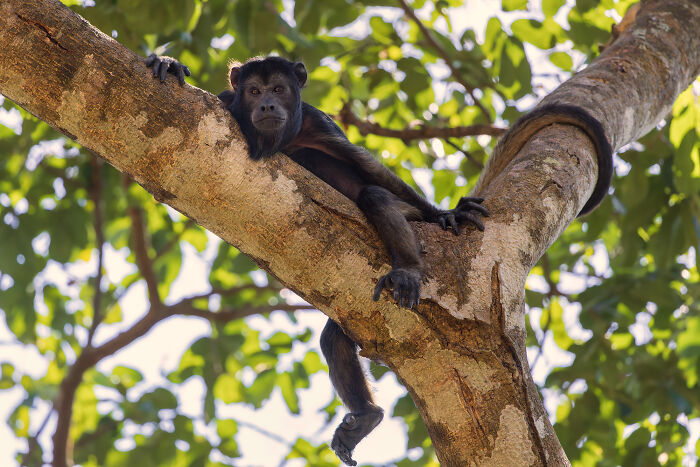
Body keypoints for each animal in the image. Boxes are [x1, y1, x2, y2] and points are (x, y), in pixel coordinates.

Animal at [147, 54, 489, 466]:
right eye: (254, 91)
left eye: (279, 89)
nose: (267, 105)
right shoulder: (226, 103)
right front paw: (168, 64)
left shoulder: (318, 123)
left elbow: (372, 170)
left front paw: (445, 213)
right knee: (333, 339)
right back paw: (366, 415)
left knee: (375, 194)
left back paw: (409, 270)